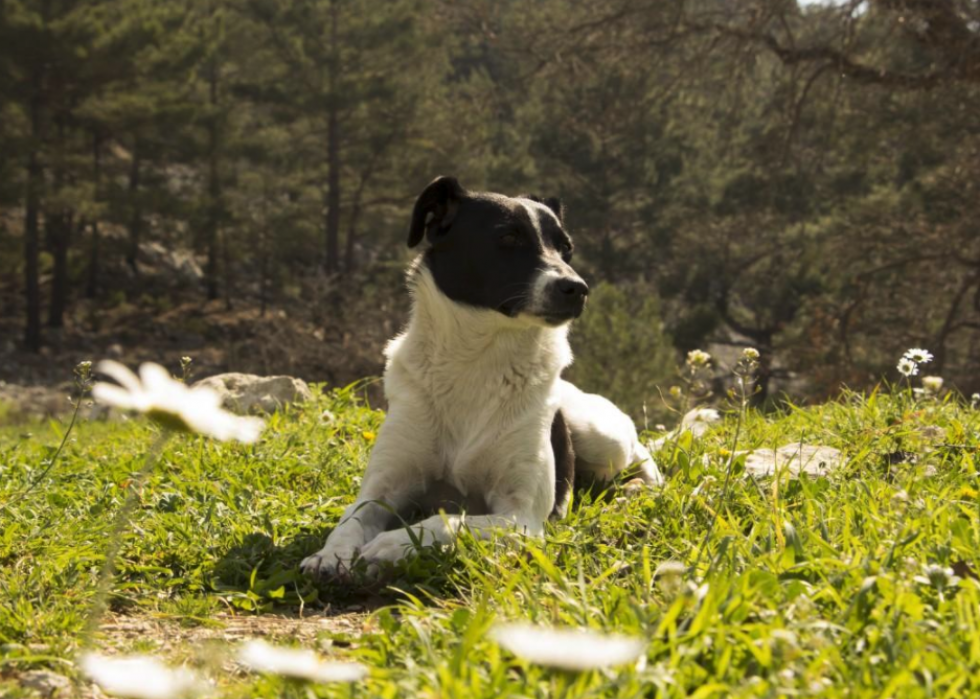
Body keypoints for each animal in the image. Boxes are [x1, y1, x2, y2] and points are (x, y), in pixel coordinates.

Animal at [298, 176, 668, 580]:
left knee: (638, 452)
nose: (578, 289)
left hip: (599, 435)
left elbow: (447, 521)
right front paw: (331, 554)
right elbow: (349, 520)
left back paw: (641, 486)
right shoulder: (382, 489)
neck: (475, 360)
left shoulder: (521, 517)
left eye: (566, 248)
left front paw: (392, 544)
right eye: (508, 237)